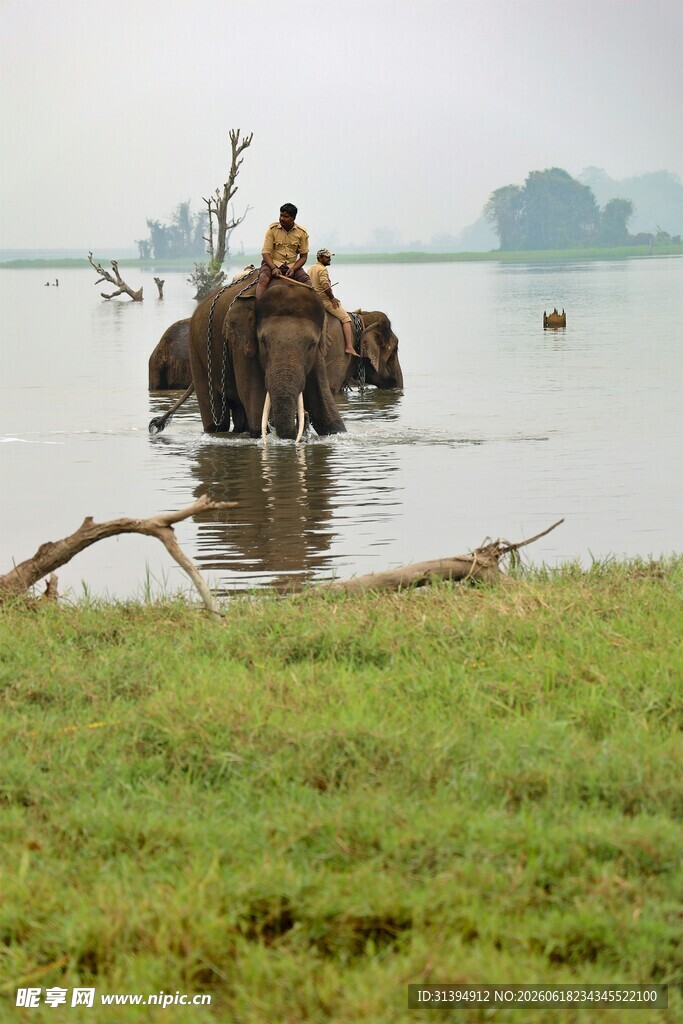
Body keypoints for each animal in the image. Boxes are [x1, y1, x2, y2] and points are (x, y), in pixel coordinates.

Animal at [188, 276, 346, 439]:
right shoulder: (243, 348)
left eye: (311, 345)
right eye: (264, 342)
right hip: (196, 350)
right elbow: (256, 402)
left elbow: (322, 399)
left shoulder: (318, 356)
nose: (303, 416)